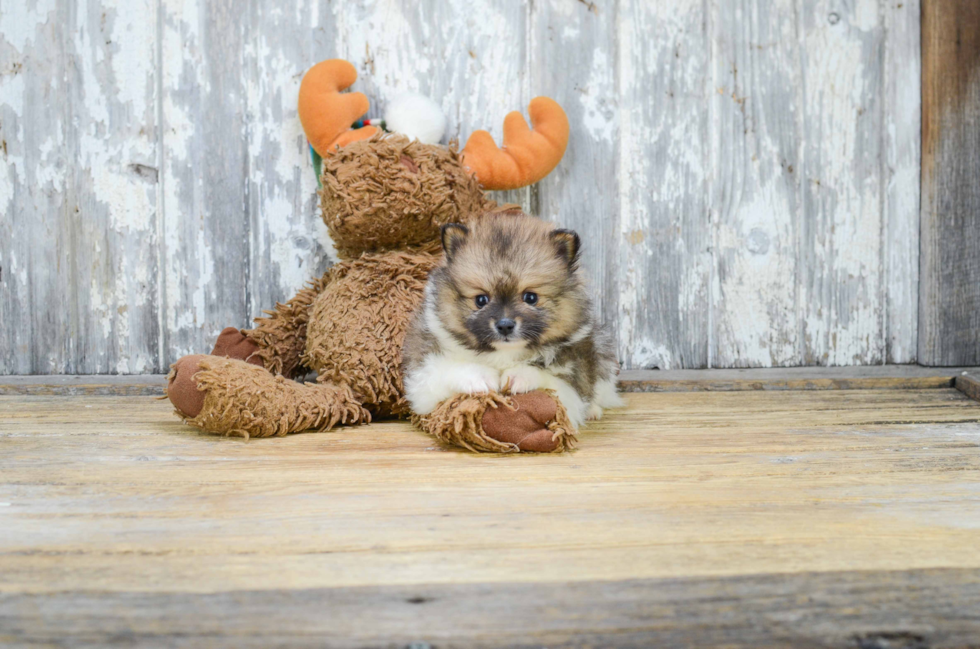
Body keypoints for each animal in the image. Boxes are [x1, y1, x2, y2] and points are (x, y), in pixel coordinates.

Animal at [402, 210, 624, 428]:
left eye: (530, 297)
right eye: (481, 300)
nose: (505, 325)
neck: (504, 354)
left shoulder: (572, 384)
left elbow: (551, 379)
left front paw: (520, 375)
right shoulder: (422, 382)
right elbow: (449, 369)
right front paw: (480, 377)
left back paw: (593, 411)